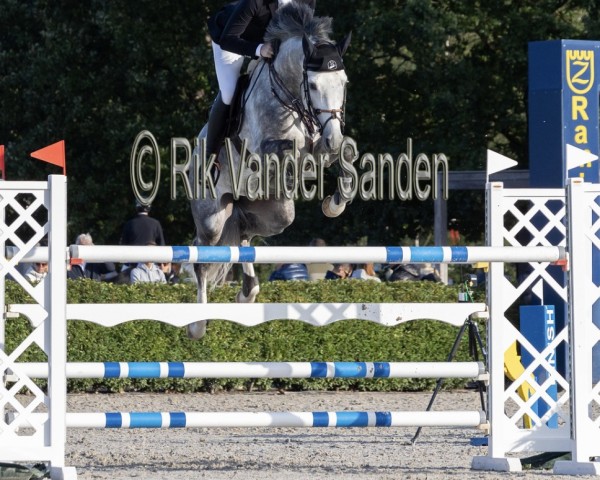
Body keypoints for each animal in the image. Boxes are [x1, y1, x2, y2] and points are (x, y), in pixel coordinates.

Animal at [189, 2, 352, 338]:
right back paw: (198, 326)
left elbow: (342, 152)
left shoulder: (319, 142)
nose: (332, 137)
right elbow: (288, 153)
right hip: (211, 217)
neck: (289, 96)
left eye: (344, 84)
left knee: (244, 234)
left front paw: (335, 203)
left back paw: (246, 293)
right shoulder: (263, 151)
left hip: (275, 214)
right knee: (202, 258)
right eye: (312, 84)